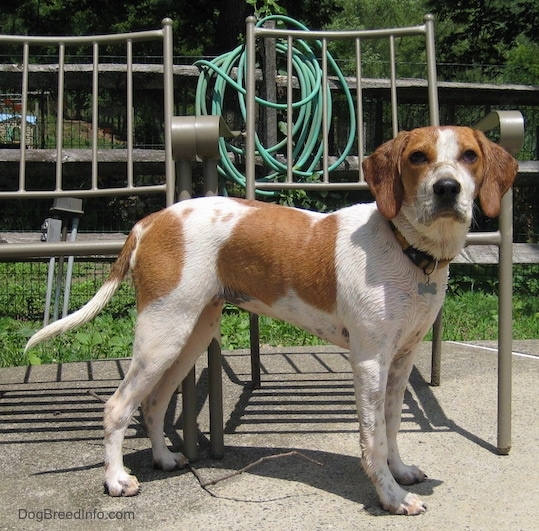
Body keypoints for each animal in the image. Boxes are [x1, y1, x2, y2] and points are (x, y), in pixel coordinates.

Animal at [25, 125, 520, 516]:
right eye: (418, 157)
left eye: (469, 156)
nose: (447, 189)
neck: (406, 249)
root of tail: (151, 220)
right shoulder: (369, 363)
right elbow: (372, 438)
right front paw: (391, 498)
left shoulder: (401, 360)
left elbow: (391, 427)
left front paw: (399, 472)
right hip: (161, 335)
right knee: (116, 406)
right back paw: (116, 480)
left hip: (189, 336)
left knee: (151, 404)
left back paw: (164, 459)